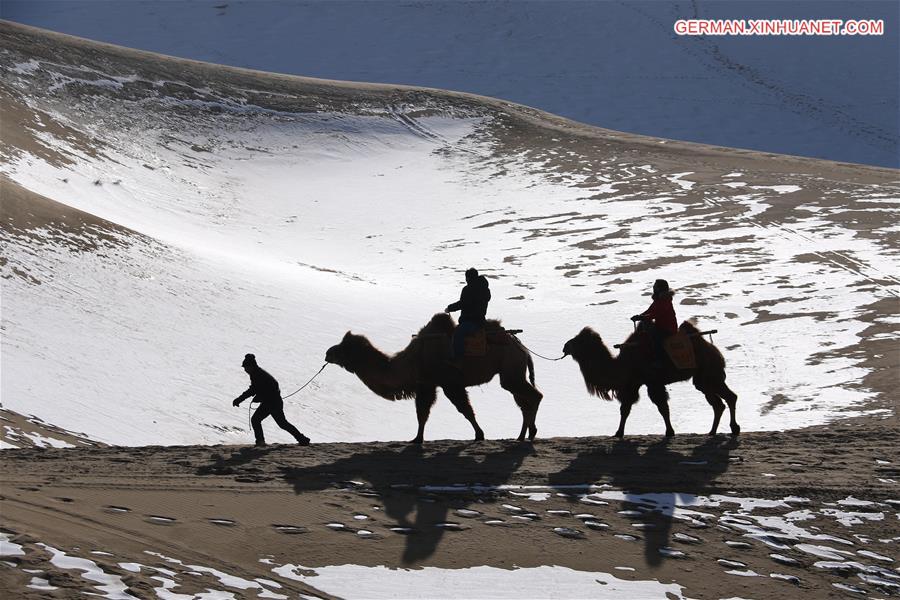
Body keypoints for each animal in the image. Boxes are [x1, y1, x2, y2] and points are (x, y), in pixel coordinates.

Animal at [326, 312, 544, 442]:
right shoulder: (427, 384)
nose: (328, 353)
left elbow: (464, 410)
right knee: (523, 401)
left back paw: (530, 433)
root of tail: (523, 349)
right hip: (512, 373)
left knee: (534, 396)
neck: (411, 360)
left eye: (344, 348)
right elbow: (423, 413)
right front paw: (417, 439)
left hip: (510, 369)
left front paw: (479, 434)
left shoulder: (447, 383)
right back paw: (522, 435)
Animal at [564, 324, 740, 436]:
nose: (565, 346)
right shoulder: (633, 384)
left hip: (710, 373)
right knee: (718, 403)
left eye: (579, 341)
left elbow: (662, 407)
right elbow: (625, 409)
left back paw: (734, 428)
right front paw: (618, 433)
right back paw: (712, 432)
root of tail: (715, 351)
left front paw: (669, 432)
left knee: (730, 397)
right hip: (702, 379)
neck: (624, 364)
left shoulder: (652, 382)